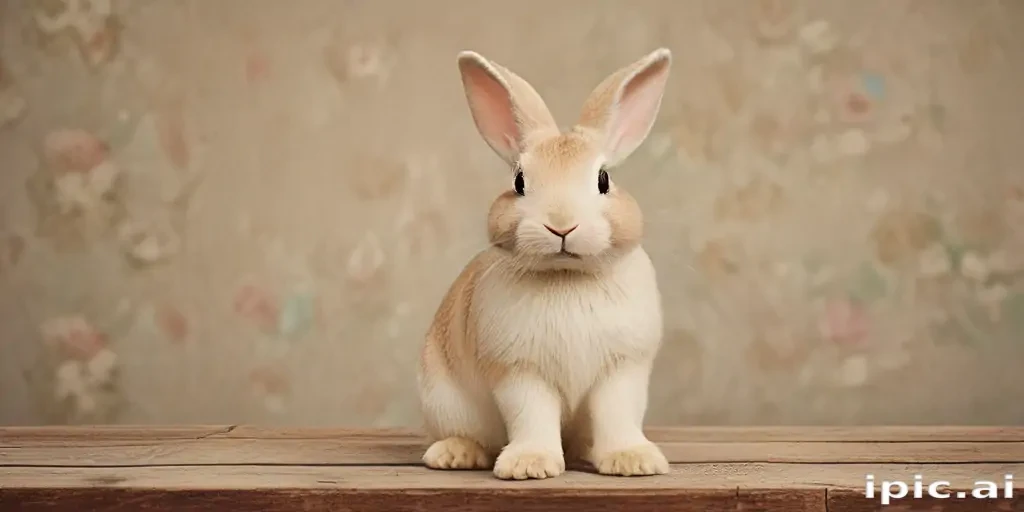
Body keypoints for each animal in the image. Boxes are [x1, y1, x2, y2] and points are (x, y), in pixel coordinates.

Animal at [417, 47, 672, 480]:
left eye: (604, 179)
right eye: (519, 181)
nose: (561, 225)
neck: (567, 276)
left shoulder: (623, 369)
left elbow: (618, 415)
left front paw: (632, 461)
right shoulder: (520, 373)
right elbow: (530, 416)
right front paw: (529, 466)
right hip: (443, 400)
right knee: (465, 434)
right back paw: (454, 454)